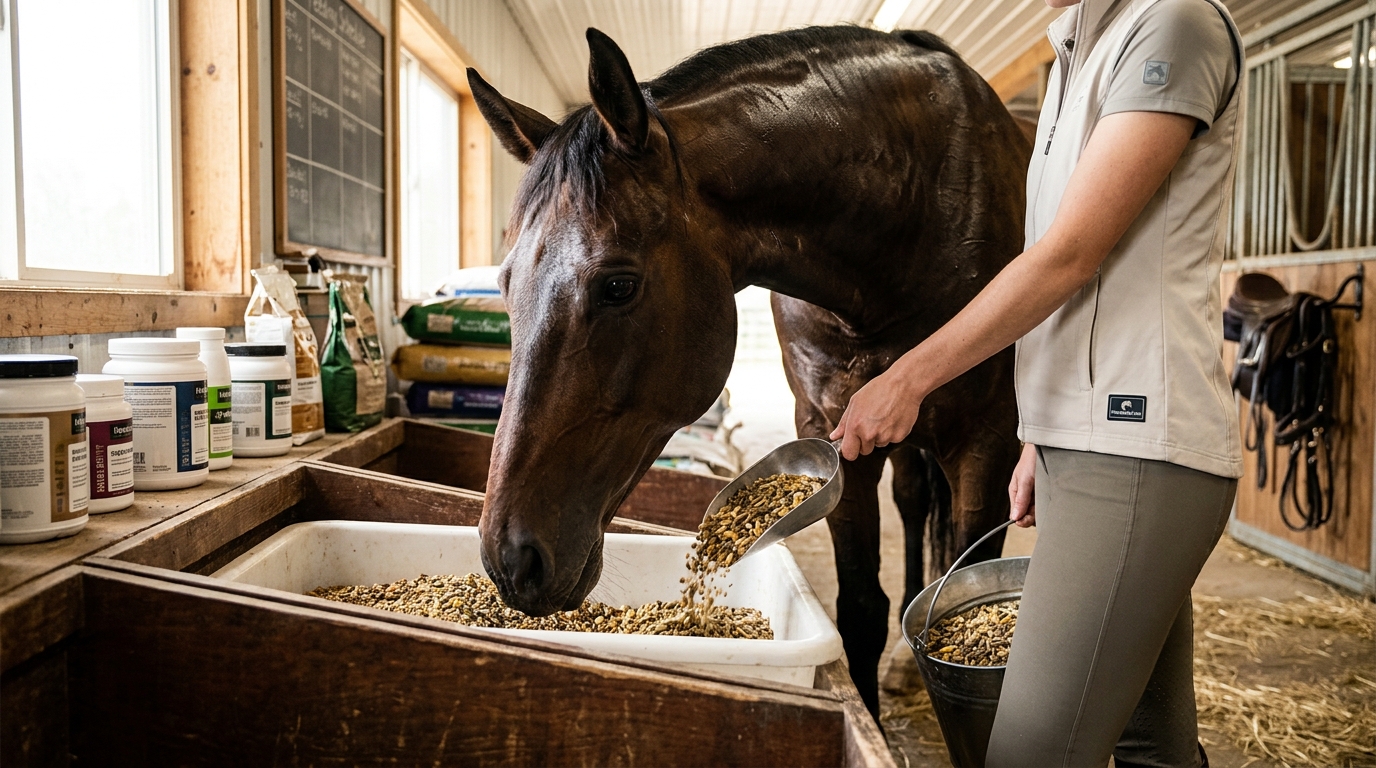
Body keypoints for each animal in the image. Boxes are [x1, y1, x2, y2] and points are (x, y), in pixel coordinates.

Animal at [468, 25, 1030, 718]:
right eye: (504, 284)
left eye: (618, 285)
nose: (511, 561)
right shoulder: (836, 430)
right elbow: (861, 609)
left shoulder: (987, 443)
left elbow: (962, 574)